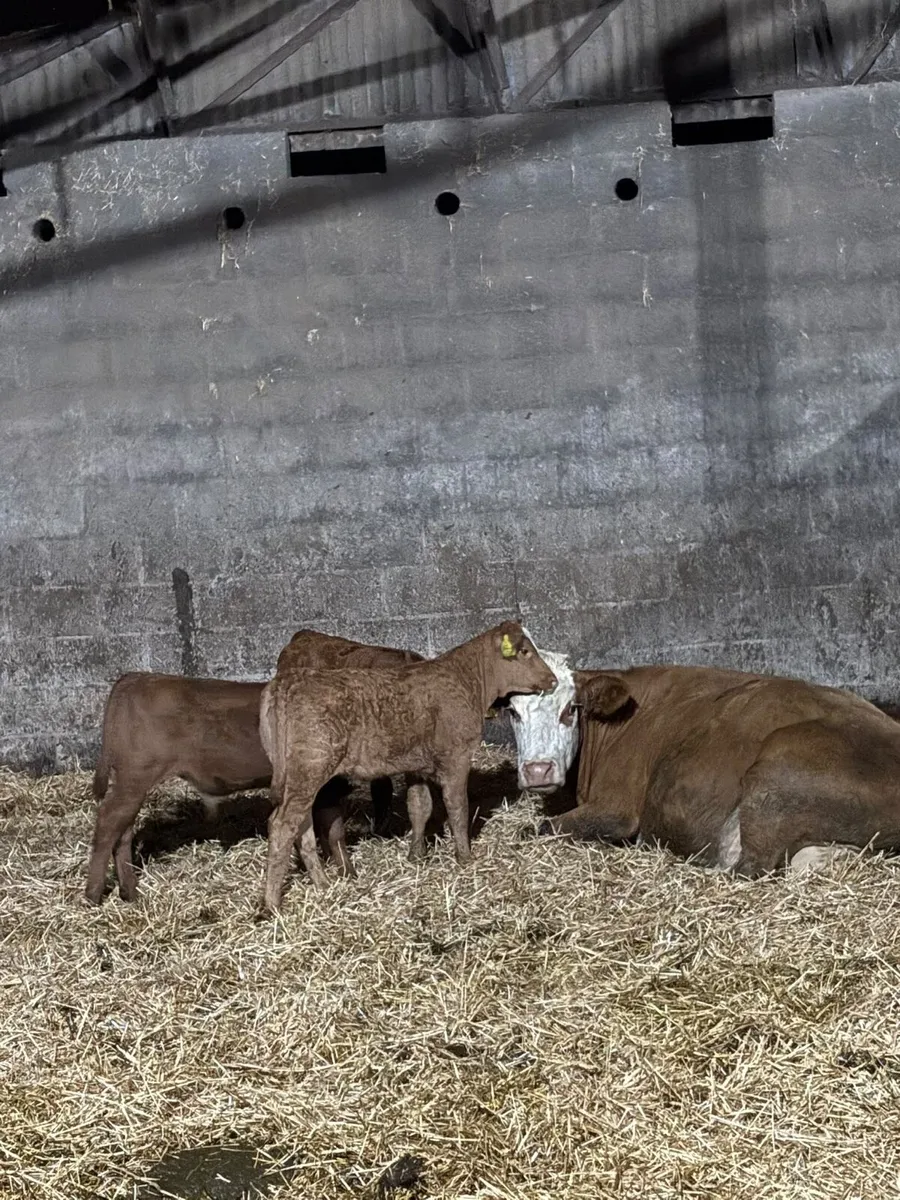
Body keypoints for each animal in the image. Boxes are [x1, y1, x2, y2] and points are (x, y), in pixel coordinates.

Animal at [86, 632, 427, 905]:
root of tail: (135, 678)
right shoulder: (325, 785)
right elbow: (333, 829)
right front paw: (345, 872)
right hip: (135, 777)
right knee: (108, 825)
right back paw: (93, 894)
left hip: (132, 783)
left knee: (123, 830)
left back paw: (129, 892)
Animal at [259, 620, 558, 912]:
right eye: (524, 651)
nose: (553, 680)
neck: (466, 680)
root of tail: (291, 680)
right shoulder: (456, 759)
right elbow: (458, 808)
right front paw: (465, 857)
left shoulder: (417, 765)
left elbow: (419, 806)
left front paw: (416, 855)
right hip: (309, 770)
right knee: (283, 825)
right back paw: (273, 904)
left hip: (301, 778)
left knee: (301, 826)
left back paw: (322, 884)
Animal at [510, 661, 900, 875]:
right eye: (512, 712)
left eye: (570, 709)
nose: (537, 770)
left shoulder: (616, 808)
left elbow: (537, 829)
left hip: (773, 783)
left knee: (747, 868)